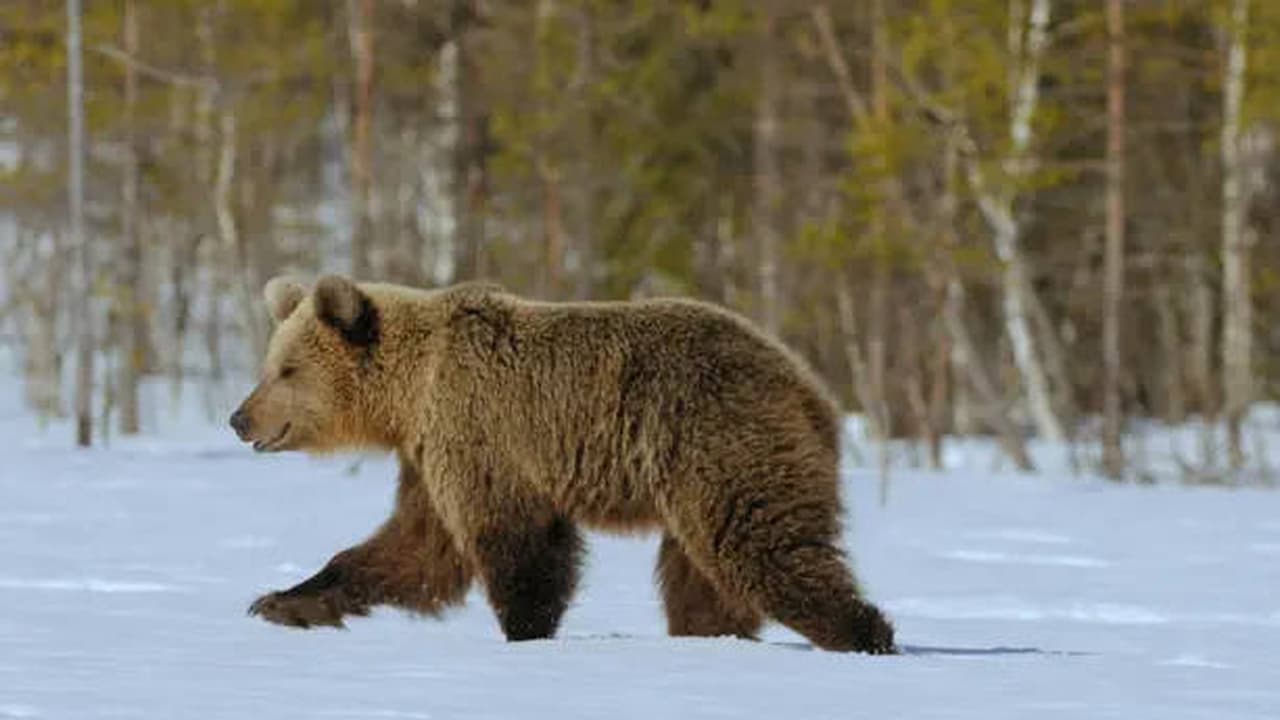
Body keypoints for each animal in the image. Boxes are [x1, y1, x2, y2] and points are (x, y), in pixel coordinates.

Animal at [227, 272, 890, 650]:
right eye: (270, 363)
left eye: (287, 369)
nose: (239, 418)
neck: (410, 393)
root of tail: (809, 386)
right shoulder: (429, 455)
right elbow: (413, 550)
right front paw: (282, 601)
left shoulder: (482, 431)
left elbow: (518, 548)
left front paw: (526, 632)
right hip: (693, 475)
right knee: (701, 576)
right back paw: (710, 634)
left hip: (718, 437)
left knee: (762, 546)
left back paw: (865, 634)